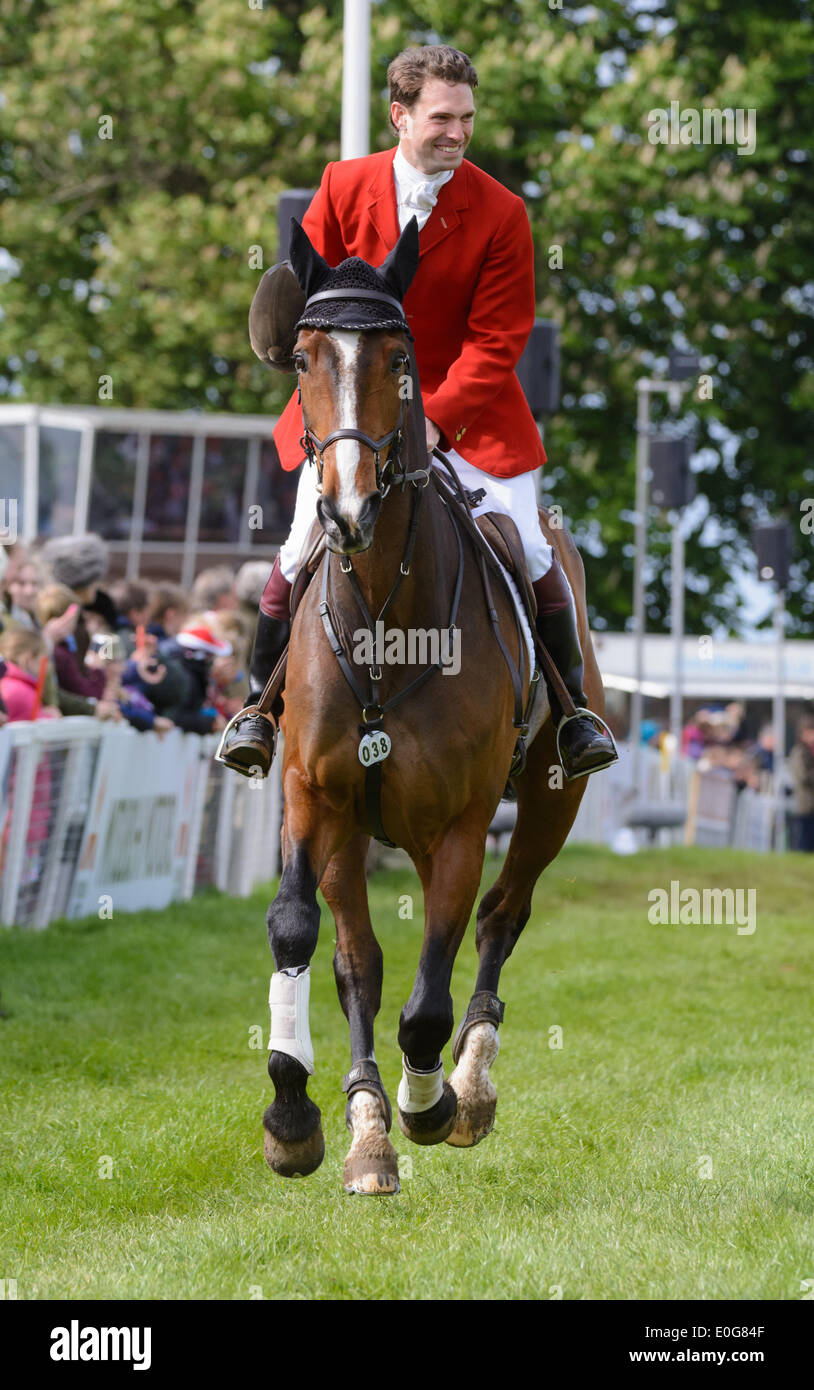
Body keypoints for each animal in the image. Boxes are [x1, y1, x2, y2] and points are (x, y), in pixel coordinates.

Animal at [255, 216, 602, 1195]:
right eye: (303, 358)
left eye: (400, 356)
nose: (346, 509)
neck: (384, 610)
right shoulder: (310, 793)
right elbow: (301, 932)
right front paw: (296, 1113)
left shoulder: (461, 824)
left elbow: (431, 994)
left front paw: (433, 1103)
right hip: (352, 832)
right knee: (358, 962)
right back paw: (365, 1122)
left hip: (551, 801)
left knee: (499, 920)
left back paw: (467, 1086)